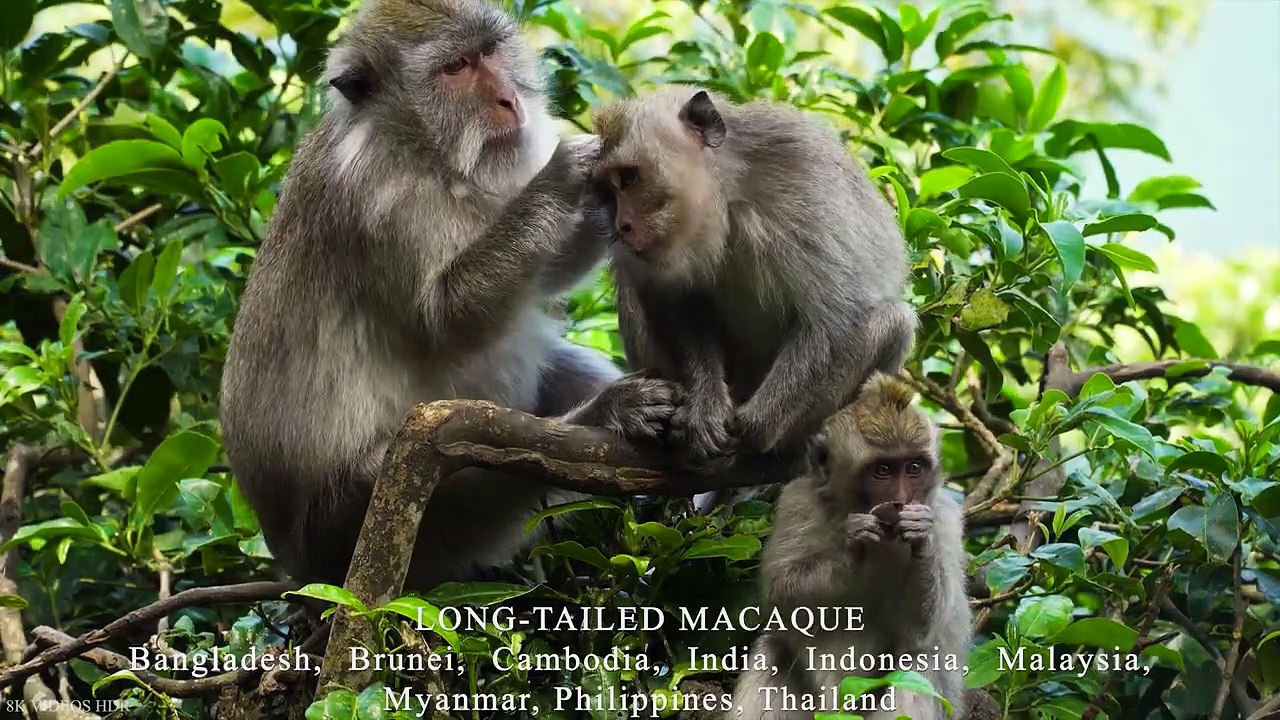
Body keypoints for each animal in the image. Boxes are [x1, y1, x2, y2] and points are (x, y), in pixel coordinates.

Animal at [219, 0, 678, 591]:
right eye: (456, 67)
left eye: (489, 52)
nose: (509, 99)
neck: (426, 153)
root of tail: (297, 566)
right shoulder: (379, 200)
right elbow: (444, 318)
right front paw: (563, 173)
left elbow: (545, 276)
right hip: (353, 522)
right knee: (456, 456)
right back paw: (600, 421)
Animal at [586, 86, 917, 478]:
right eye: (607, 193)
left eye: (628, 178)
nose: (621, 227)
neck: (729, 193)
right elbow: (679, 303)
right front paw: (705, 410)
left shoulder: (808, 181)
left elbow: (837, 318)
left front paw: (756, 427)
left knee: (893, 321)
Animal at [731, 373, 971, 720]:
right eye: (883, 470)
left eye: (914, 467)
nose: (901, 501)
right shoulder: (797, 502)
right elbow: (781, 594)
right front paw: (854, 544)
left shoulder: (945, 520)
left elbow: (922, 630)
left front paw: (919, 538)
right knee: (773, 649)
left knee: (919, 662)